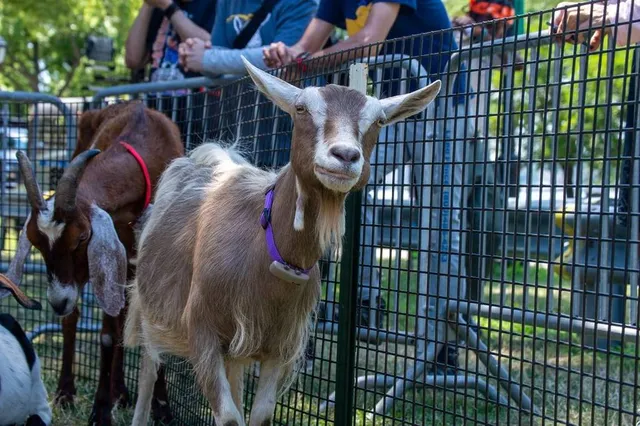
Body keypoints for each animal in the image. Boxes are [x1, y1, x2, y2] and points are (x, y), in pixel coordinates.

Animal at [124, 57, 441, 426]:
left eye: (378, 120)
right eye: (301, 108)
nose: (345, 155)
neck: (266, 251)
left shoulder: (279, 344)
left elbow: (258, 415)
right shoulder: (202, 331)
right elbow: (229, 417)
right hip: (150, 307)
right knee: (149, 367)